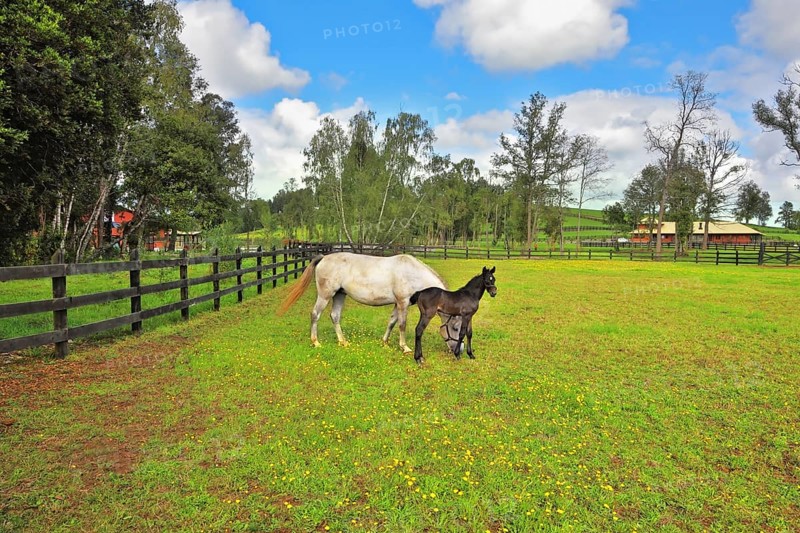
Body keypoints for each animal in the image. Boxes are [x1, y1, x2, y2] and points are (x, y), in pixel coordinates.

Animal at [277, 252, 461, 353]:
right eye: (456, 328)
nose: (458, 350)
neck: (412, 273)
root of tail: (323, 258)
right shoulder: (402, 302)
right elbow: (402, 324)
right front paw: (405, 347)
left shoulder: (398, 304)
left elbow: (391, 322)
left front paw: (385, 343)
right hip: (325, 295)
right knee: (315, 314)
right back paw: (316, 342)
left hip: (340, 295)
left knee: (335, 316)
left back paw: (343, 341)